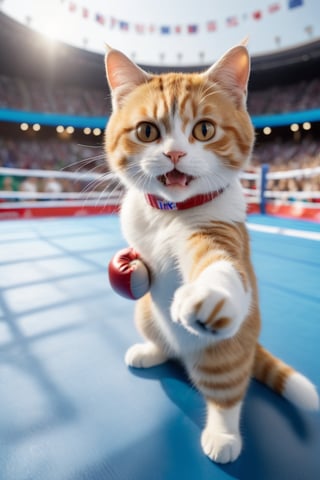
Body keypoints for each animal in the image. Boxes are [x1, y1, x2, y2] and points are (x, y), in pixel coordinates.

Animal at [104, 44, 318, 462]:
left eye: (204, 129)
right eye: (147, 131)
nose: (173, 154)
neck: (168, 213)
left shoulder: (218, 233)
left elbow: (218, 266)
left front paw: (209, 296)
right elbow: (139, 267)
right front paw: (132, 270)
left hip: (224, 355)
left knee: (227, 396)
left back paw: (223, 437)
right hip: (146, 316)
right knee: (164, 346)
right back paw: (150, 352)